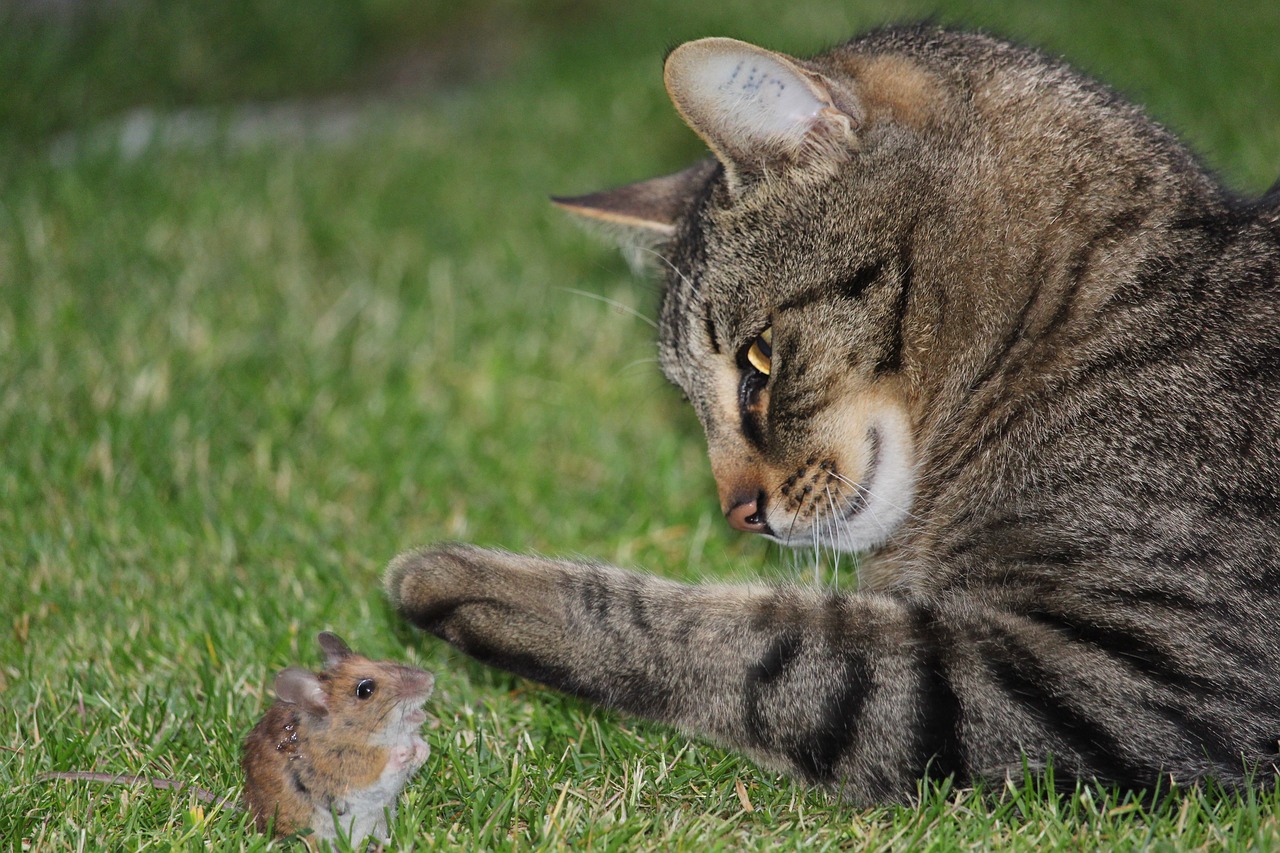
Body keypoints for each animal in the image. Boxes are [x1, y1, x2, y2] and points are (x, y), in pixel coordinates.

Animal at [384, 23, 1280, 799]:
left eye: (758, 363)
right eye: (689, 398)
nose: (736, 511)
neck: (1082, 316)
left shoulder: (1131, 679)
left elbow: (766, 647)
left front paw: (458, 581)